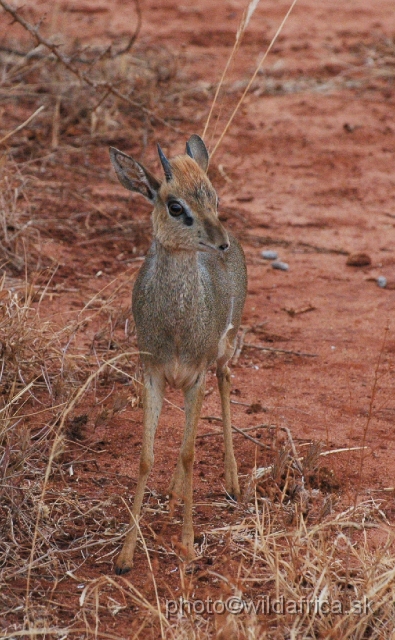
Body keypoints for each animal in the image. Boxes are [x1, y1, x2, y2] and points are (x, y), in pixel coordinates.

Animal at [110, 135, 248, 576]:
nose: (220, 241)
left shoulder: (196, 376)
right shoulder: (153, 374)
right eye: (175, 205)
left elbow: (188, 453)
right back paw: (172, 494)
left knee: (226, 381)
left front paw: (187, 544)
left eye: (213, 196)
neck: (174, 327)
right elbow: (146, 457)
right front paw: (125, 555)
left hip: (222, 352)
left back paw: (233, 483)